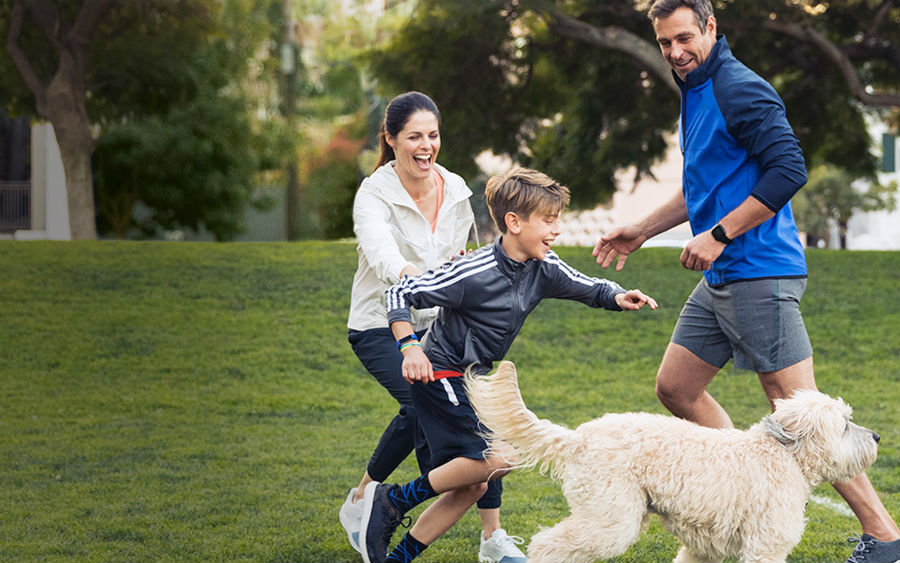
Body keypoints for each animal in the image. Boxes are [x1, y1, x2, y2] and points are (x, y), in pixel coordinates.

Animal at [468, 364, 884, 560]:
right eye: (845, 425)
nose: (878, 437)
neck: (781, 457)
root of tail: (578, 438)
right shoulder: (765, 547)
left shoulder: (702, 549)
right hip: (610, 520)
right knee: (548, 546)